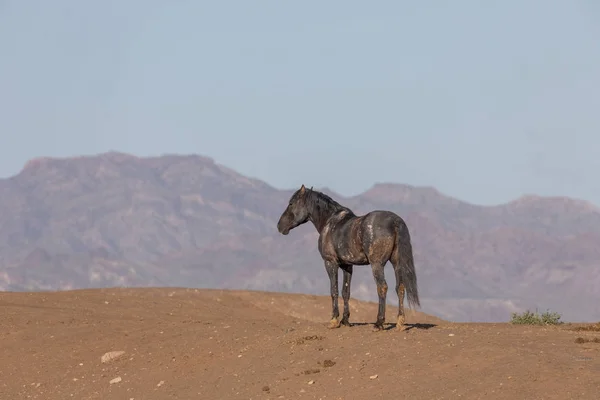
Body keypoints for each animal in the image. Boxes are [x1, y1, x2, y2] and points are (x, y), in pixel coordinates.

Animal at [276, 184, 420, 332]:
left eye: (291, 203)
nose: (280, 226)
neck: (329, 222)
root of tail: (395, 221)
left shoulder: (330, 262)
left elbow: (334, 290)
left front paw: (334, 320)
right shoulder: (347, 265)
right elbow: (345, 291)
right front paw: (345, 320)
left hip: (377, 264)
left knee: (382, 287)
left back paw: (379, 323)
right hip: (397, 263)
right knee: (400, 287)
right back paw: (400, 322)